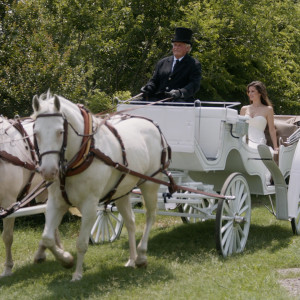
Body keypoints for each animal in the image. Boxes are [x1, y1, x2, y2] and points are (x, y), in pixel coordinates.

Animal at [31, 93, 170, 282]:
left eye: (60, 132)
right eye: (36, 133)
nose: (48, 171)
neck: (84, 154)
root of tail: (152, 125)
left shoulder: (90, 205)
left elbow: (81, 243)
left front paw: (77, 274)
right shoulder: (56, 202)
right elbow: (47, 238)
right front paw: (66, 259)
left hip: (150, 184)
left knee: (150, 216)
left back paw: (141, 256)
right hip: (122, 192)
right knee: (131, 222)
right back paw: (132, 259)